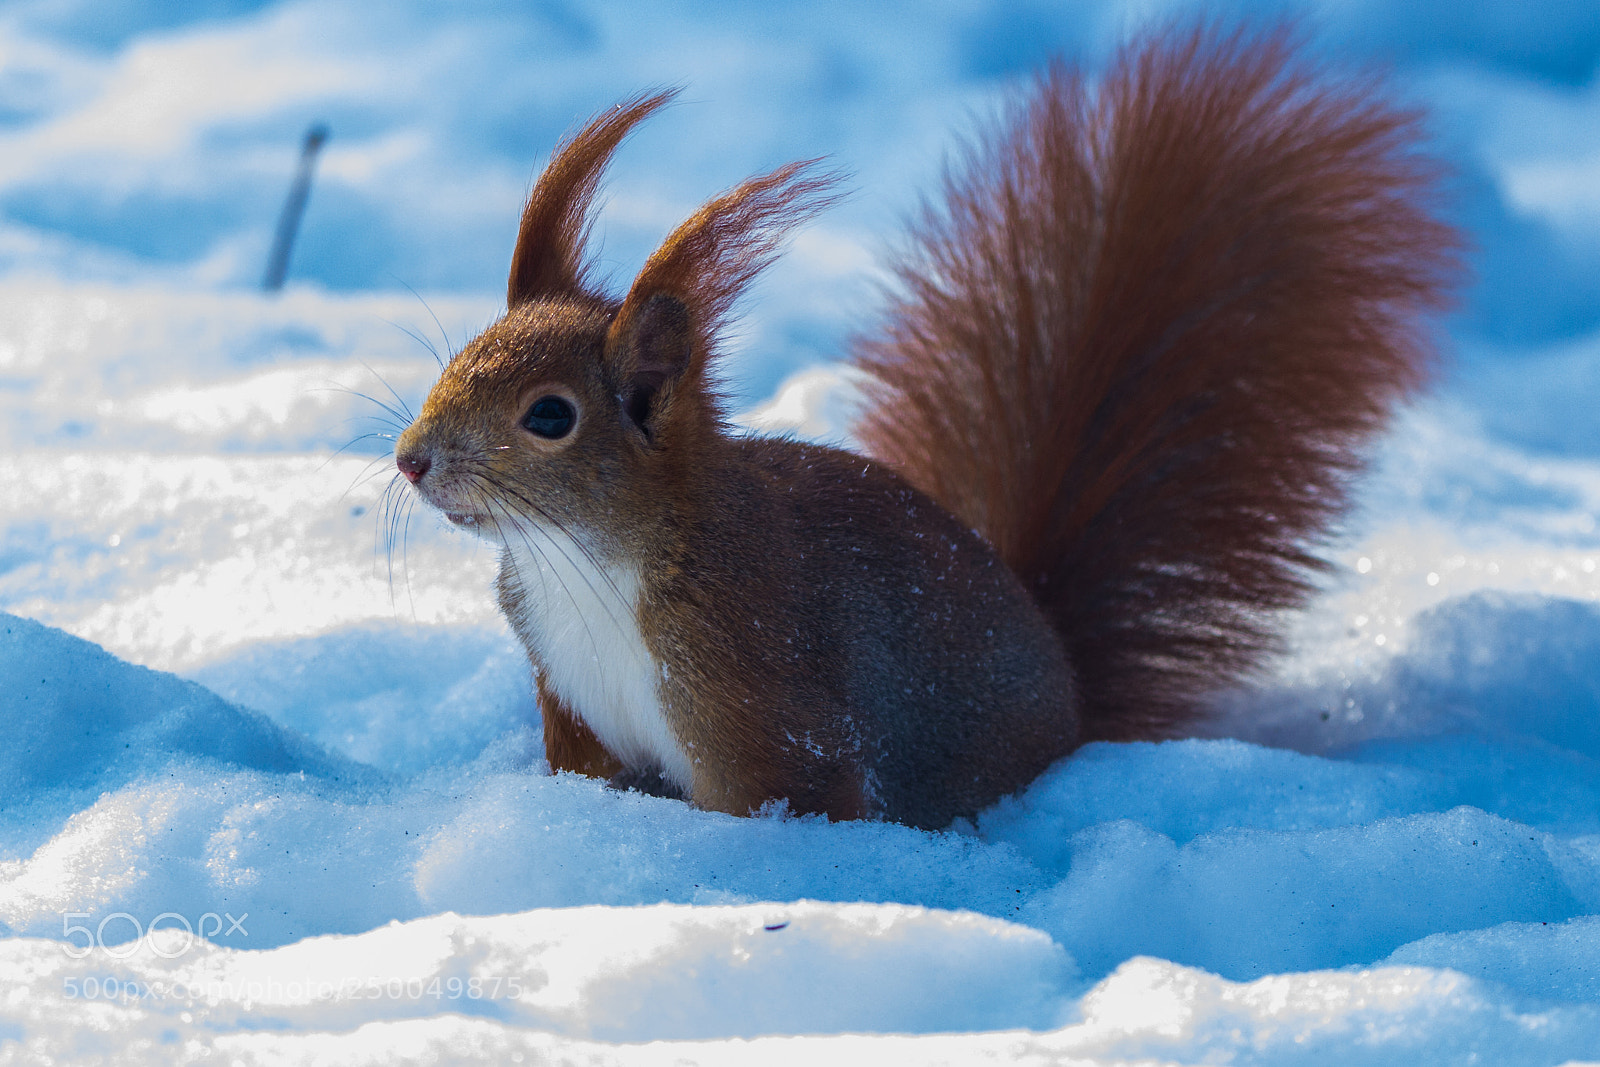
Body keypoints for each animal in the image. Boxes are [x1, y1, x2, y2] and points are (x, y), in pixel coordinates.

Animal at [393, 24, 1459, 829]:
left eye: (550, 416)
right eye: (457, 356)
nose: (411, 461)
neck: (584, 557)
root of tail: (1073, 695)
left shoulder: (761, 693)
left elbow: (797, 791)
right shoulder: (570, 701)